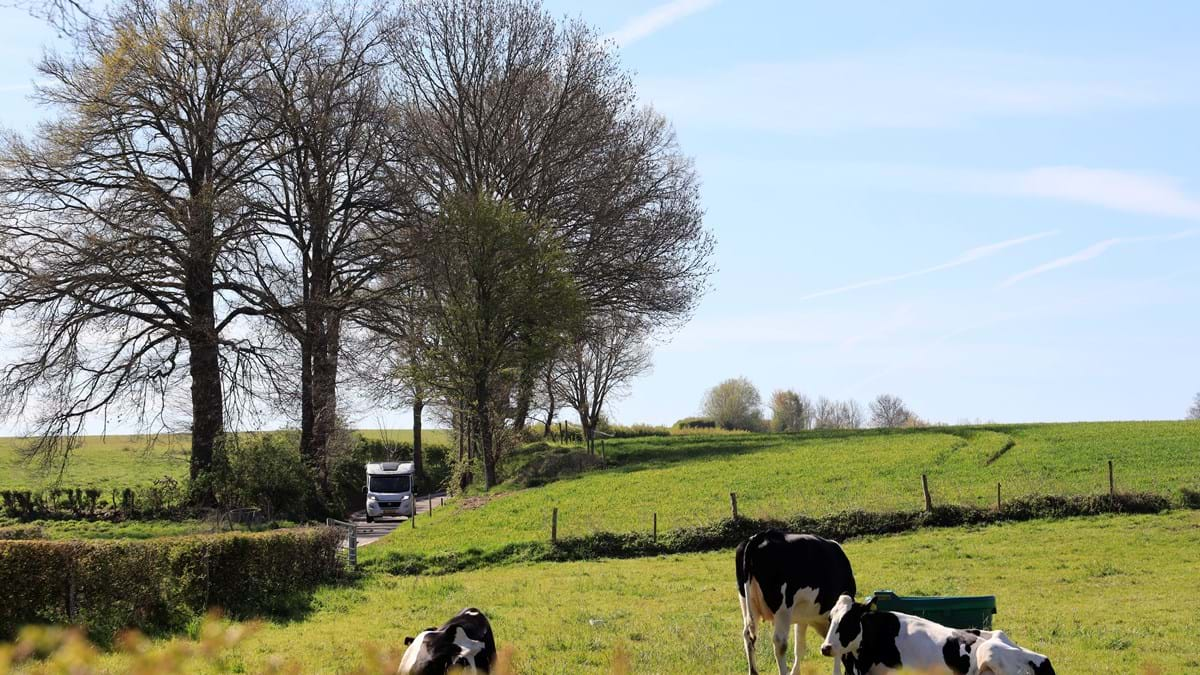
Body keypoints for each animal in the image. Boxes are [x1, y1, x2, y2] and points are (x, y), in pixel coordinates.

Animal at [734, 530, 859, 672]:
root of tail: (759, 537)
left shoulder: (803, 617)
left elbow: (799, 647)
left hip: (747, 603)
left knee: (748, 636)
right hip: (783, 609)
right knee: (780, 642)